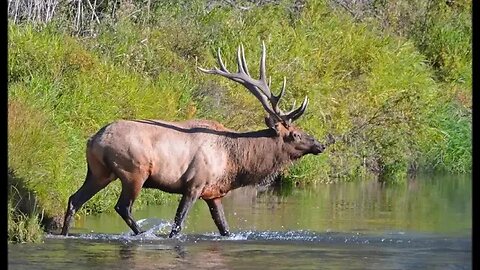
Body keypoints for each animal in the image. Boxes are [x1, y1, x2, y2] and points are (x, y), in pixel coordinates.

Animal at [61, 41, 330, 237]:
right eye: (295, 134)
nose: (320, 144)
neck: (235, 162)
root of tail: (93, 140)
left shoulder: (214, 193)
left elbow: (224, 229)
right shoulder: (194, 183)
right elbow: (178, 223)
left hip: (99, 172)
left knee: (74, 199)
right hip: (133, 171)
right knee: (122, 206)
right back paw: (143, 234)